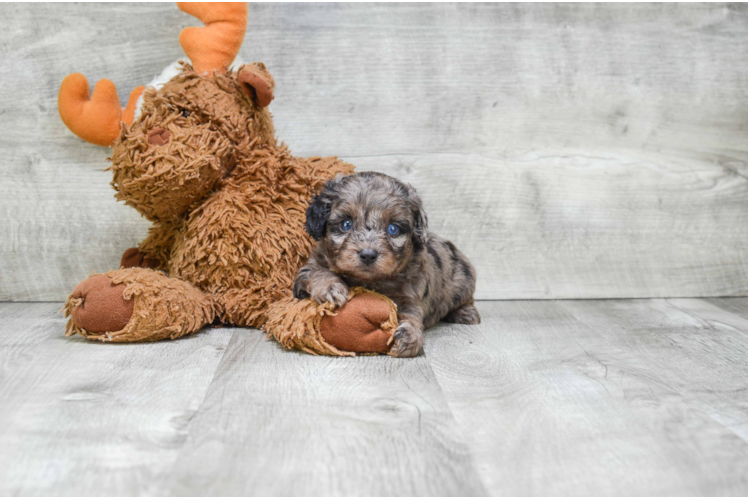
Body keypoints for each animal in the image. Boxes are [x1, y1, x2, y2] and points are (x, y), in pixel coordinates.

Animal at [292, 171, 480, 356]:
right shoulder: (305, 275)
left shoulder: (410, 295)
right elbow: (316, 272)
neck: (369, 281)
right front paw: (331, 288)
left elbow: (412, 314)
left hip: (464, 279)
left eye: (393, 229)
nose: (368, 255)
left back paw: (466, 312)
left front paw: (409, 335)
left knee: (466, 299)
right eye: (346, 224)